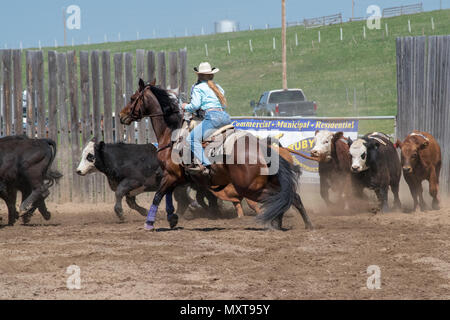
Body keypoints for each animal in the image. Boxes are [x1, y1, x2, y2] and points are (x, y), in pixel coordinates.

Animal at [76, 140, 218, 222]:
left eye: (90, 156)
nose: (78, 171)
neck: (121, 158)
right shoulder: (132, 190)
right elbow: (130, 202)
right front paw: (144, 211)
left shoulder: (133, 181)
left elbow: (119, 193)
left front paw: (120, 213)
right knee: (185, 200)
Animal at [119, 79, 312, 230]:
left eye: (133, 98)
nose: (121, 115)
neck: (172, 132)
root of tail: (264, 148)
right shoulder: (176, 177)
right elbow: (168, 196)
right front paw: (172, 218)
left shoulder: (171, 175)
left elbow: (159, 195)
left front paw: (149, 223)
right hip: (267, 181)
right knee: (291, 196)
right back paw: (302, 224)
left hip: (248, 186)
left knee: (280, 197)